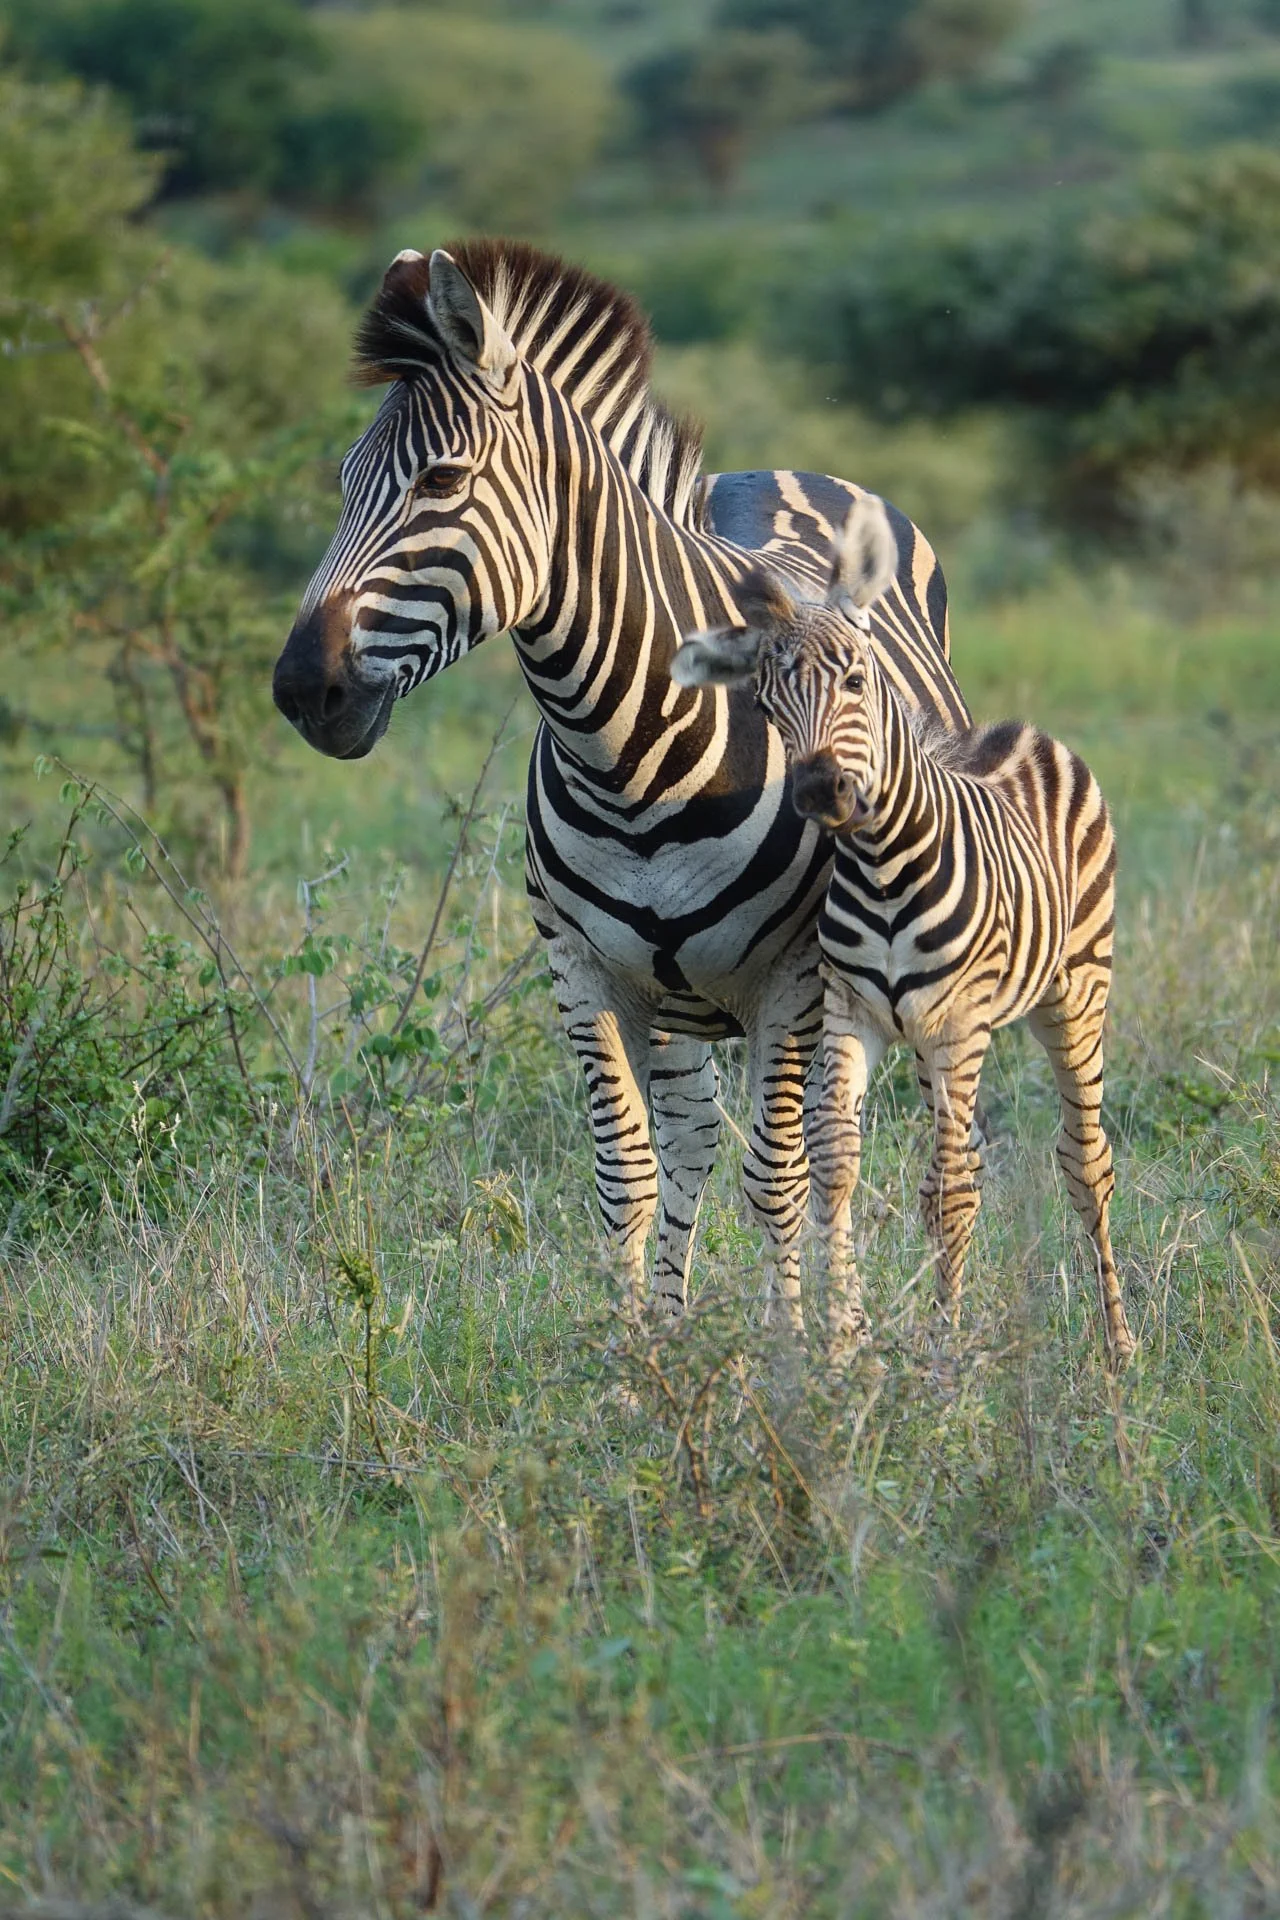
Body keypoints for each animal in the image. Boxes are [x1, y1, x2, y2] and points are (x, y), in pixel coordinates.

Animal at [272, 239, 970, 1338]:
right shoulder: (583, 969)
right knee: (693, 1138)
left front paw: (789, 1352)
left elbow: (778, 1177)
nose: (303, 688)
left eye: (442, 479)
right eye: (342, 483)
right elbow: (628, 1172)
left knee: (834, 1149)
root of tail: (788, 471)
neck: (629, 758)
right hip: (680, 999)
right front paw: (634, 1353)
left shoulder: (793, 977)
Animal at [672, 498, 1137, 1368]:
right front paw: (839, 1338)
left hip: (1075, 994)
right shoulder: (853, 1014)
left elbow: (949, 1189)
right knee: (963, 1165)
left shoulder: (958, 1025)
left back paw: (1120, 1345)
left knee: (1084, 1163)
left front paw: (944, 1351)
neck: (886, 865)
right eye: (767, 708)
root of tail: (1022, 730)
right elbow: (837, 1161)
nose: (820, 790)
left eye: (857, 681)